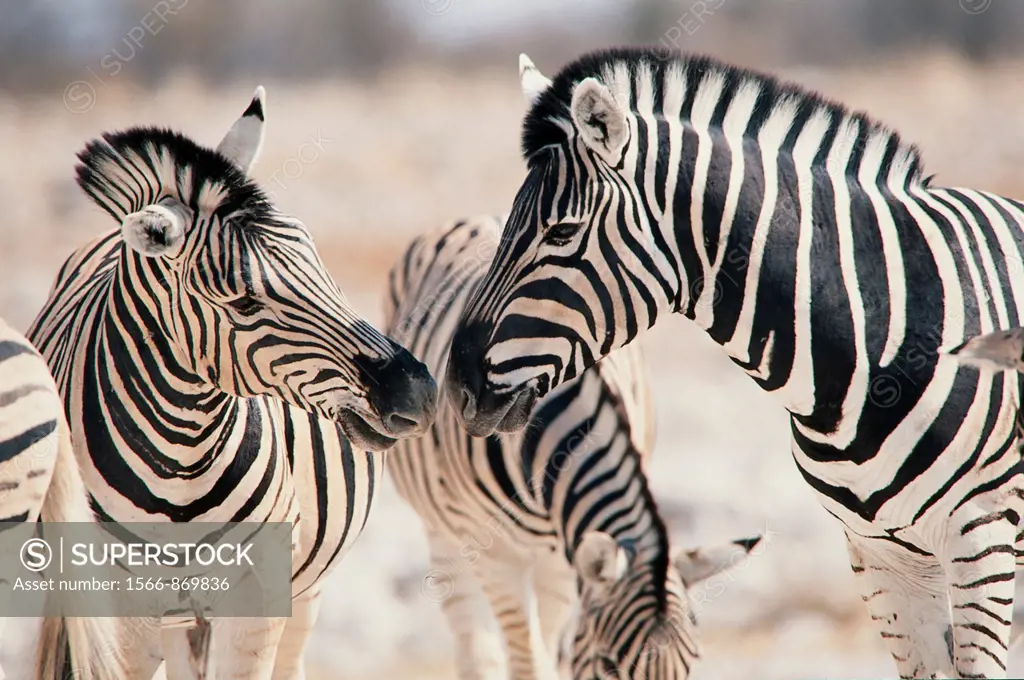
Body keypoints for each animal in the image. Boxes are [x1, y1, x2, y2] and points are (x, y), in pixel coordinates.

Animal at [27, 87, 436, 675]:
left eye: (322, 266)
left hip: (300, 591)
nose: (417, 392)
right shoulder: (120, 614)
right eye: (243, 302)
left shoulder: (259, 601)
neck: (181, 458)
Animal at [382, 214, 761, 680]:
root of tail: (470, 218)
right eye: (610, 666)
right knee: (474, 641)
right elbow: (528, 660)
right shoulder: (495, 556)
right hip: (444, 533)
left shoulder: (562, 559)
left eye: (688, 669)